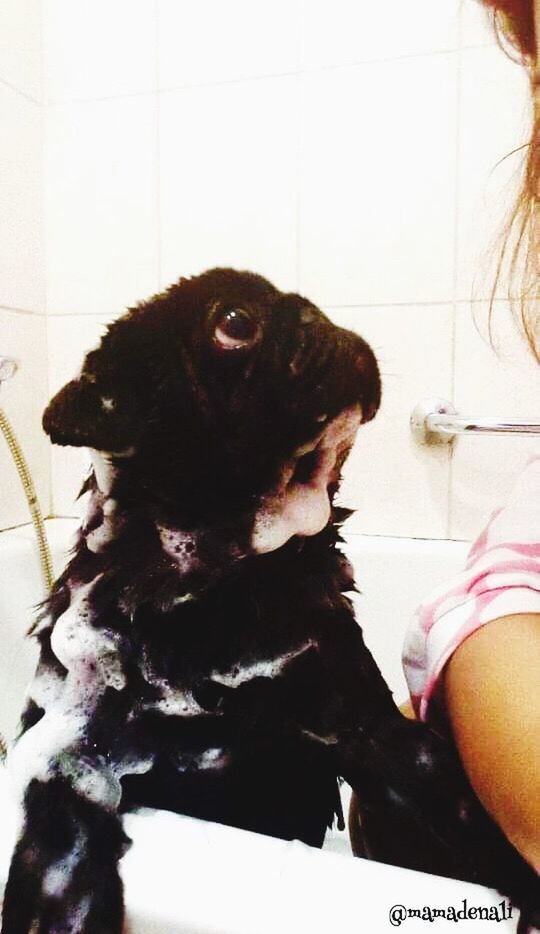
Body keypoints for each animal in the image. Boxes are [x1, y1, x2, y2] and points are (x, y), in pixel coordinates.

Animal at [2, 266, 536, 932]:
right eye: (235, 322)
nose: (318, 320)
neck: (220, 582)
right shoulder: (73, 756)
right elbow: (58, 858)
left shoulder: (377, 734)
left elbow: (466, 823)